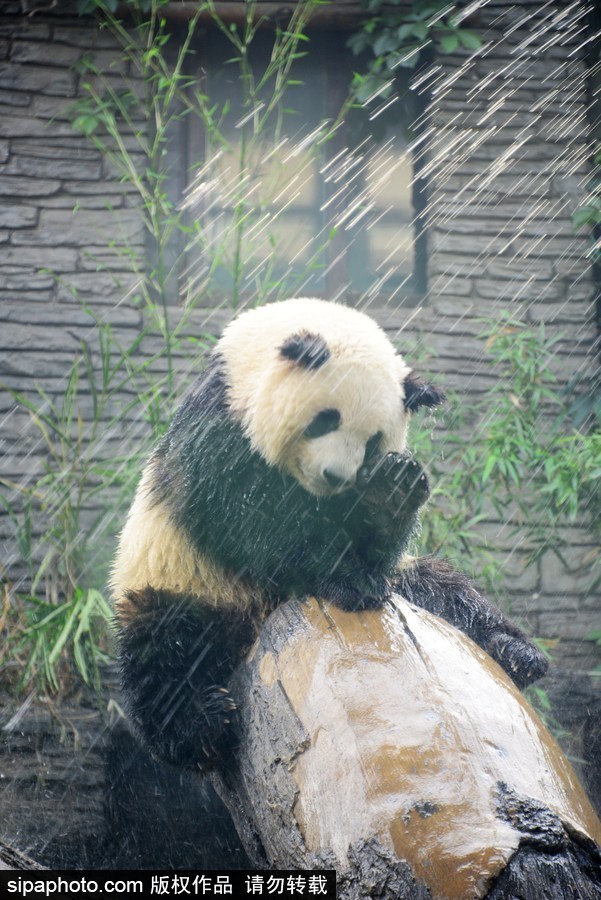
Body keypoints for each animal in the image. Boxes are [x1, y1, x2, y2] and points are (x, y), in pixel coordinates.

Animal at [110, 298, 548, 768]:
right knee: (166, 652)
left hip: (410, 585)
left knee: (447, 592)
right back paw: (202, 723)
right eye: (325, 420)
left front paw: (391, 492)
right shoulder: (219, 429)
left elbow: (378, 543)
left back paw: (518, 654)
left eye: (373, 441)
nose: (336, 476)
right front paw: (345, 578)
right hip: (186, 581)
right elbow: (256, 523)